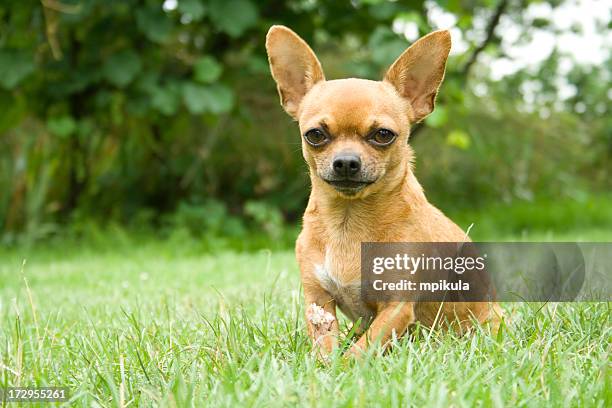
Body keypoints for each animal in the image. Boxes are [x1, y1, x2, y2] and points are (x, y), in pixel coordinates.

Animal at [264, 25, 502, 356]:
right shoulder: (319, 302)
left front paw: (345, 365)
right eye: (315, 135)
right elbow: (326, 348)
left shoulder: (396, 308)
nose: (346, 162)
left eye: (383, 135)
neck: (348, 223)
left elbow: (358, 352)